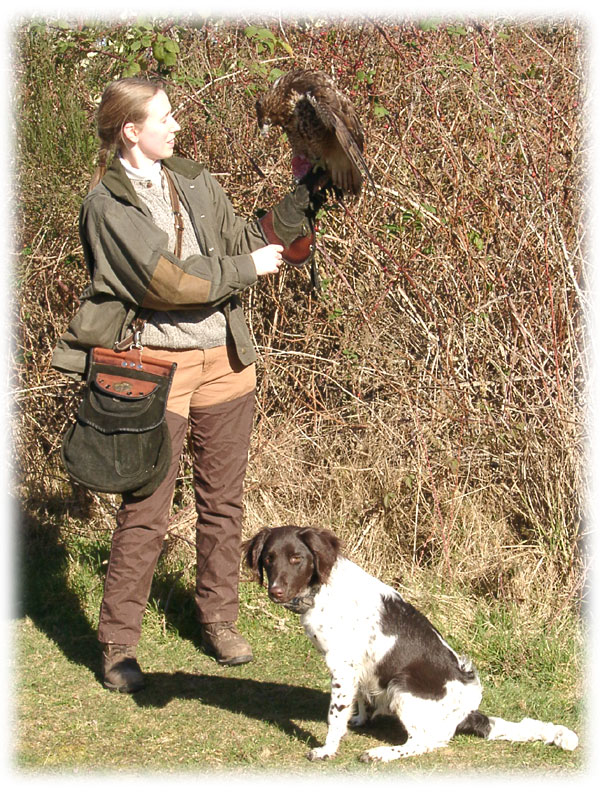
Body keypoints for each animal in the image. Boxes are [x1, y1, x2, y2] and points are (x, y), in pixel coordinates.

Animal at [243, 524, 576, 756]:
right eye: (269, 559)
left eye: (296, 558)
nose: (275, 591)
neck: (322, 591)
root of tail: (467, 712)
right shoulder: (359, 669)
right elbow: (359, 701)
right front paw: (358, 721)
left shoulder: (343, 668)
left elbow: (334, 717)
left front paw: (327, 750)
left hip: (401, 687)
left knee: (425, 743)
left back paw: (381, 753)